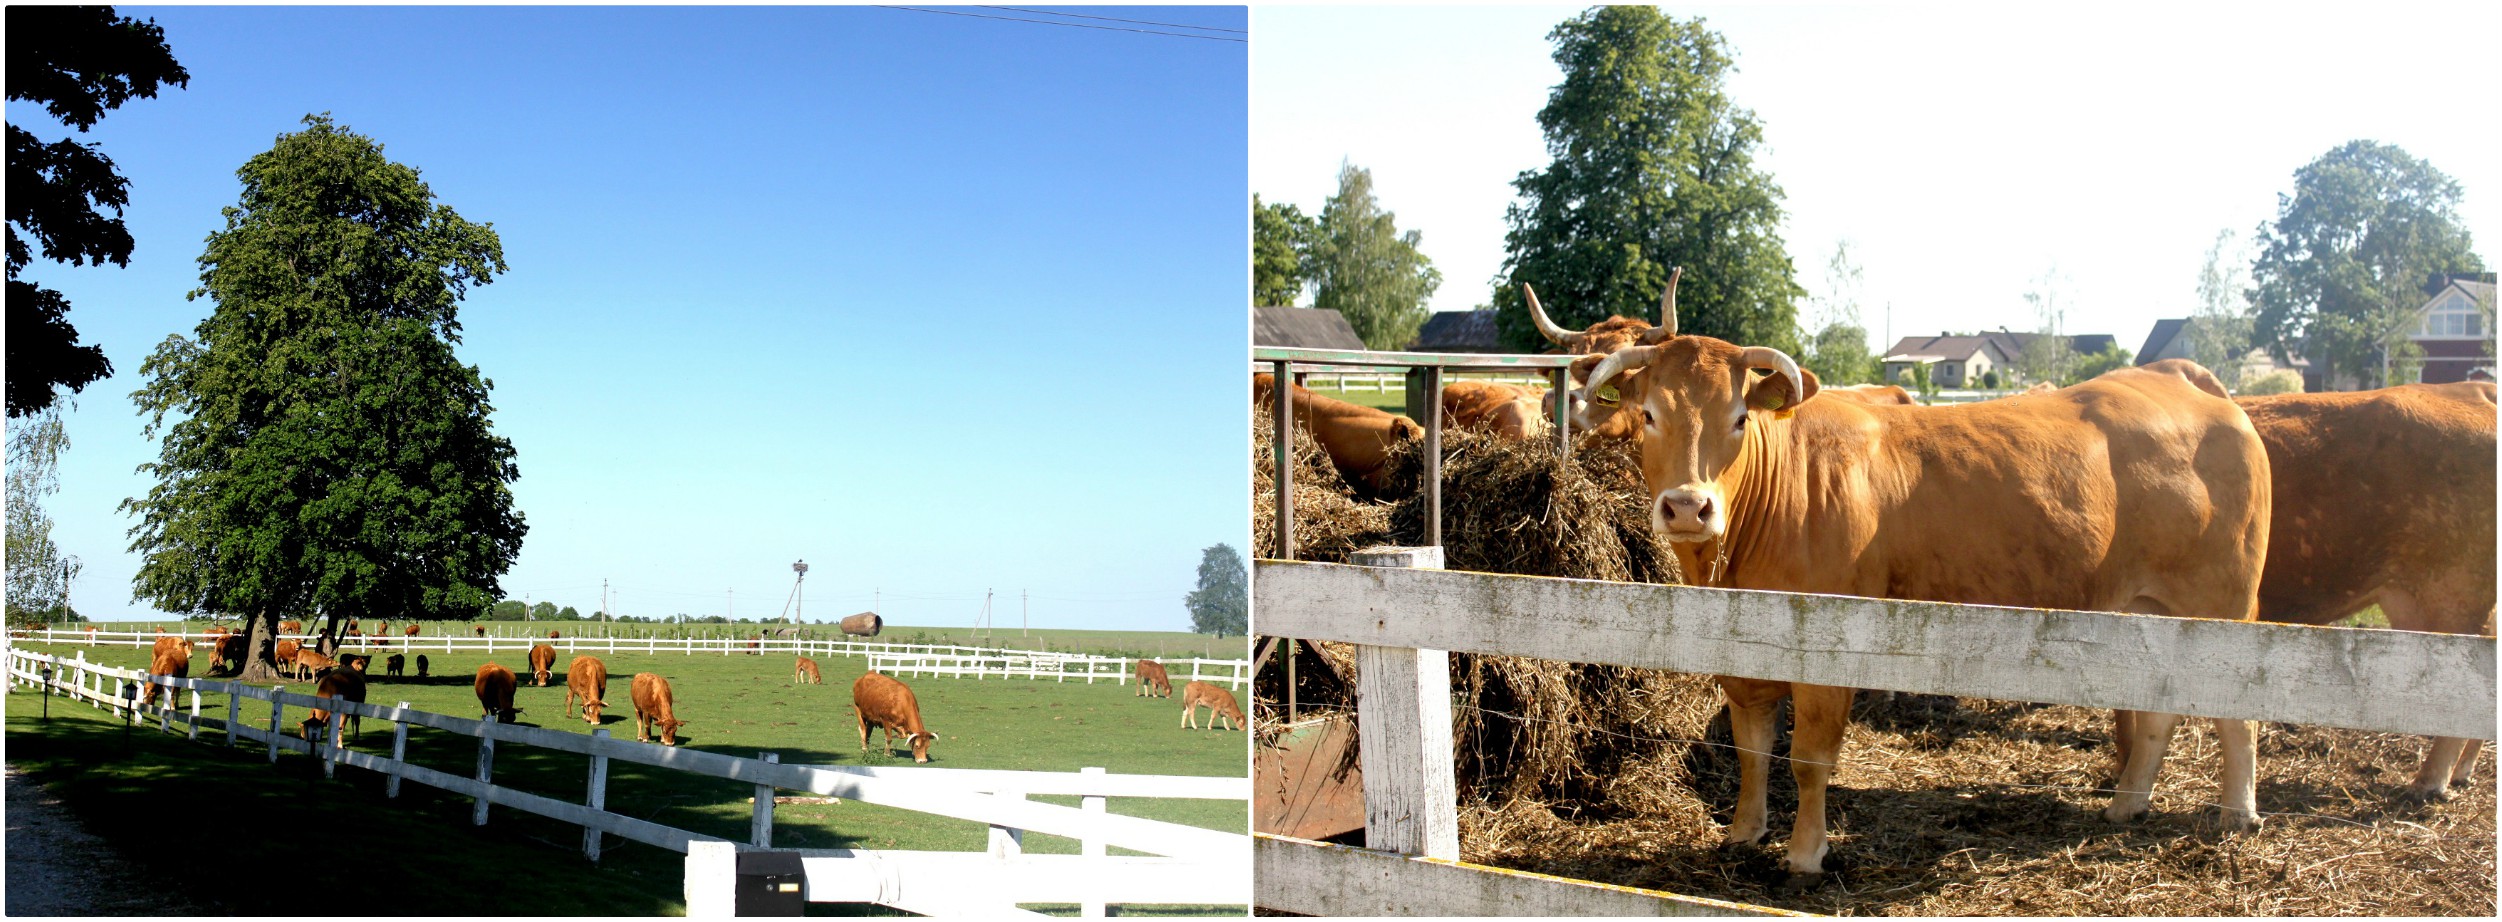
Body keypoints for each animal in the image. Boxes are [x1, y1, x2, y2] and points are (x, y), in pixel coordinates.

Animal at [1571, 288, 2281, 874]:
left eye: (1741, 418)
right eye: (1650, 414)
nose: (1689, 507)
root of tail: (2190, 387)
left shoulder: (1827, 656)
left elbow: (1808, 758)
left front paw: (1806, 853)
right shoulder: (1740, 657)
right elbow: (1753, 749)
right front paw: (1745, 833)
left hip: (2225, 606)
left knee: (2237, 715)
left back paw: (2236, 814)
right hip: (2152, 610)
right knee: (2161, 707)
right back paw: (2127, 804)